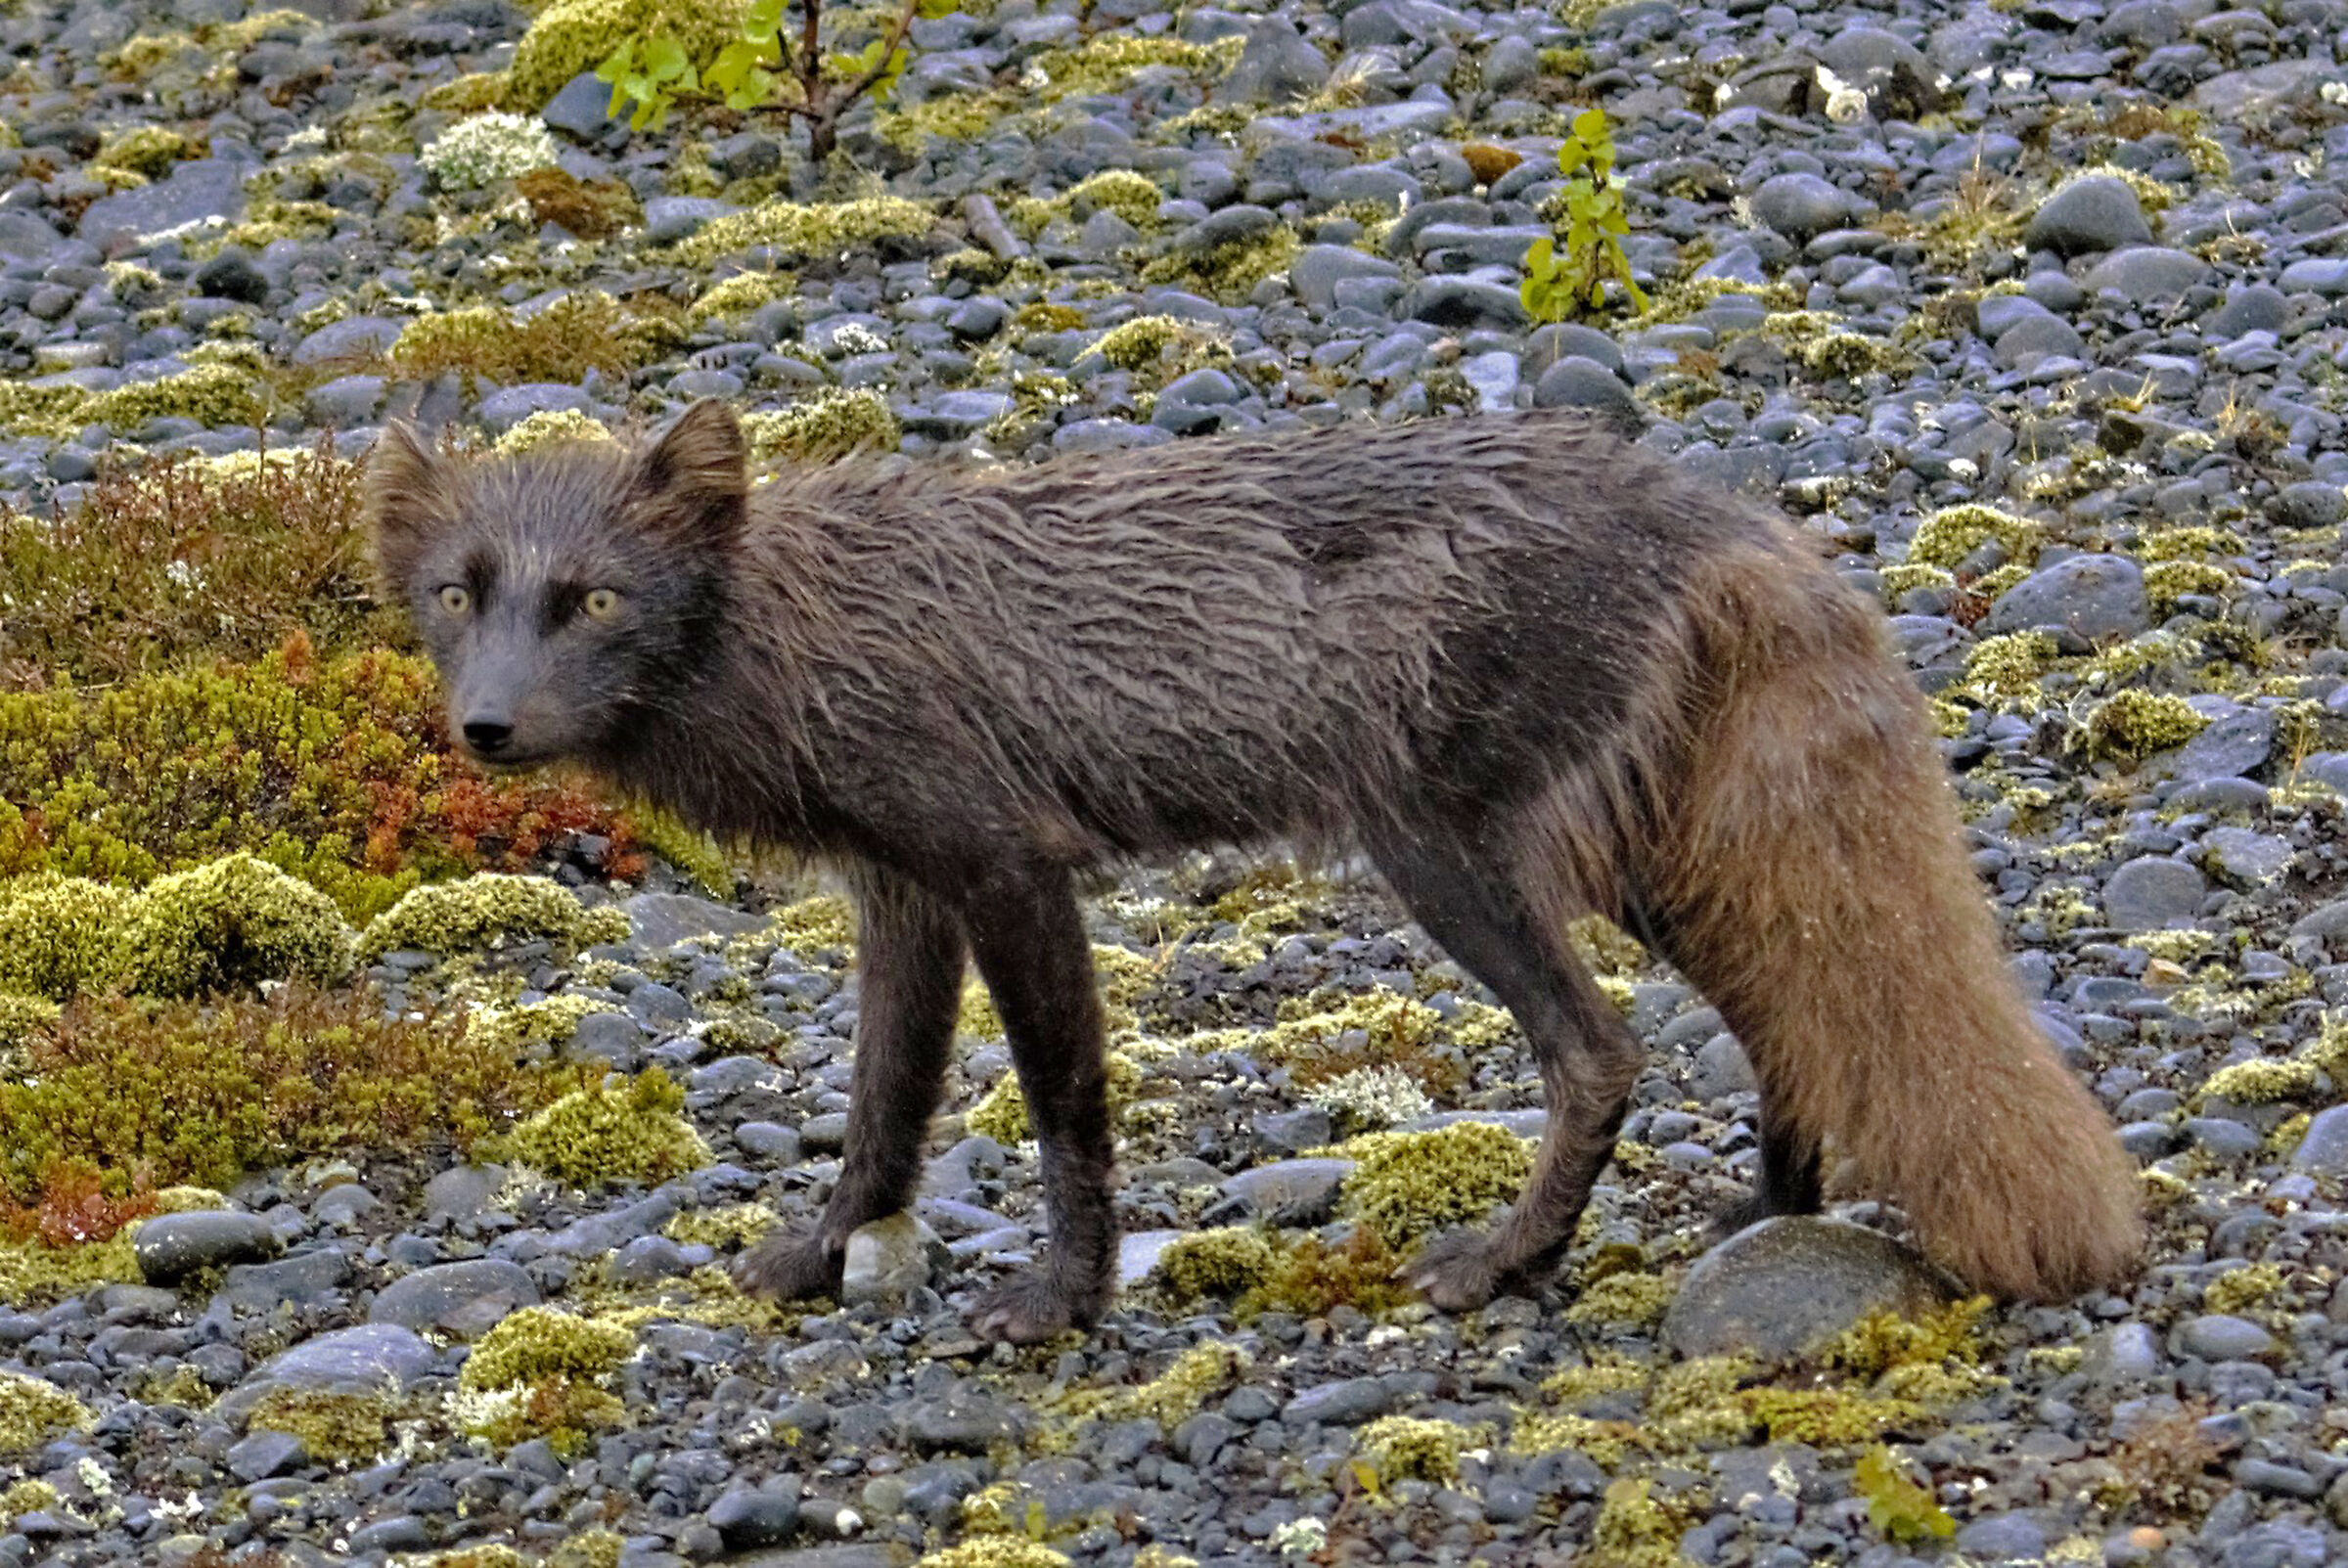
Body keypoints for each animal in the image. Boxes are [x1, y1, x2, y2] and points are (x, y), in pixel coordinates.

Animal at [366, 399, 2145, 1344]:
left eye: (594, 598)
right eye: (460, 592)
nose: (489, 728)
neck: (800, 632)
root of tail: (1711, 510)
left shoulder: (1007, 863)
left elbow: (1064, 1109)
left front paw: (1061, 1302)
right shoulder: (903, 888)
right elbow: (885, 1110)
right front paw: (817, 1255)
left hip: (1442, 844)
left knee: (1606, 1048)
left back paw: (1505, 1261)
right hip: (1621, 848)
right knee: (1784, 1007)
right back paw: (1768, 1214)